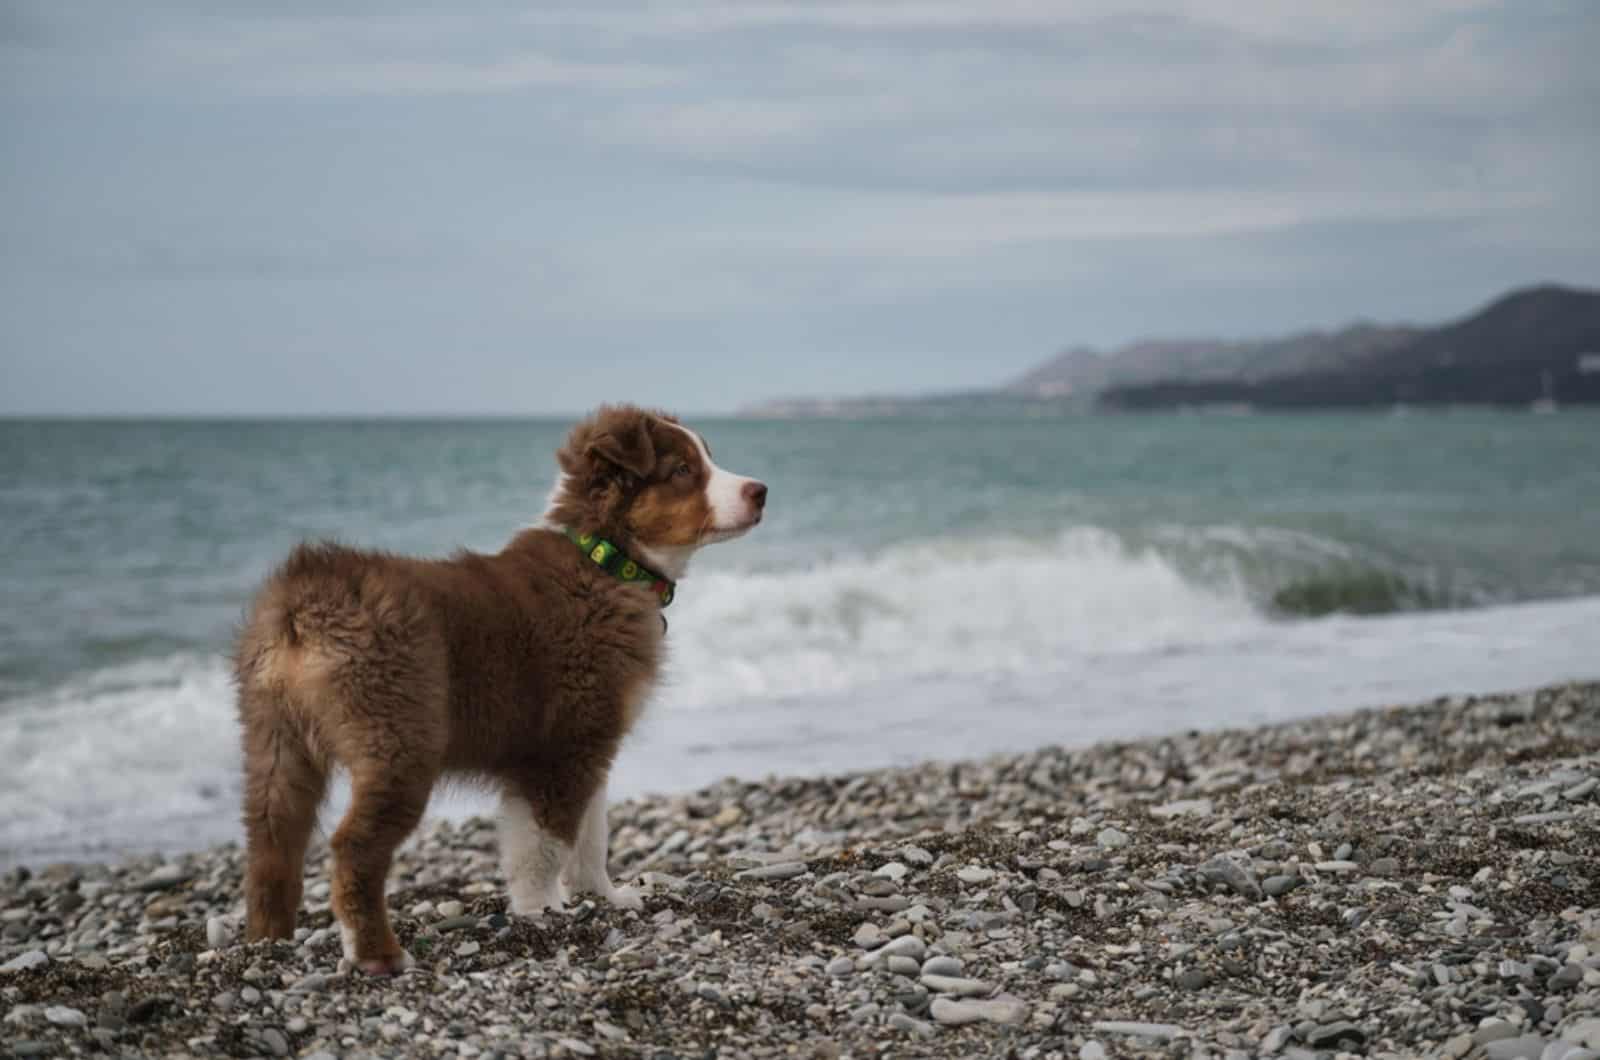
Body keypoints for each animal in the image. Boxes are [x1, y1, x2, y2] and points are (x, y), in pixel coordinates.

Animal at [230, 409, 768, 973]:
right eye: (683, 470)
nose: (761, 491)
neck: (605, 561)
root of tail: (305, 598)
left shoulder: (591, 742)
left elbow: (591, 834)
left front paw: (603, 897)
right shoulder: (562, 747)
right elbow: (547, 843)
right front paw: (543, 910)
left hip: (274, 739)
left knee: (271, 842)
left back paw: (267, 942)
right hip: (399, 737)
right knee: (354, 847)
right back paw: (377, 953)